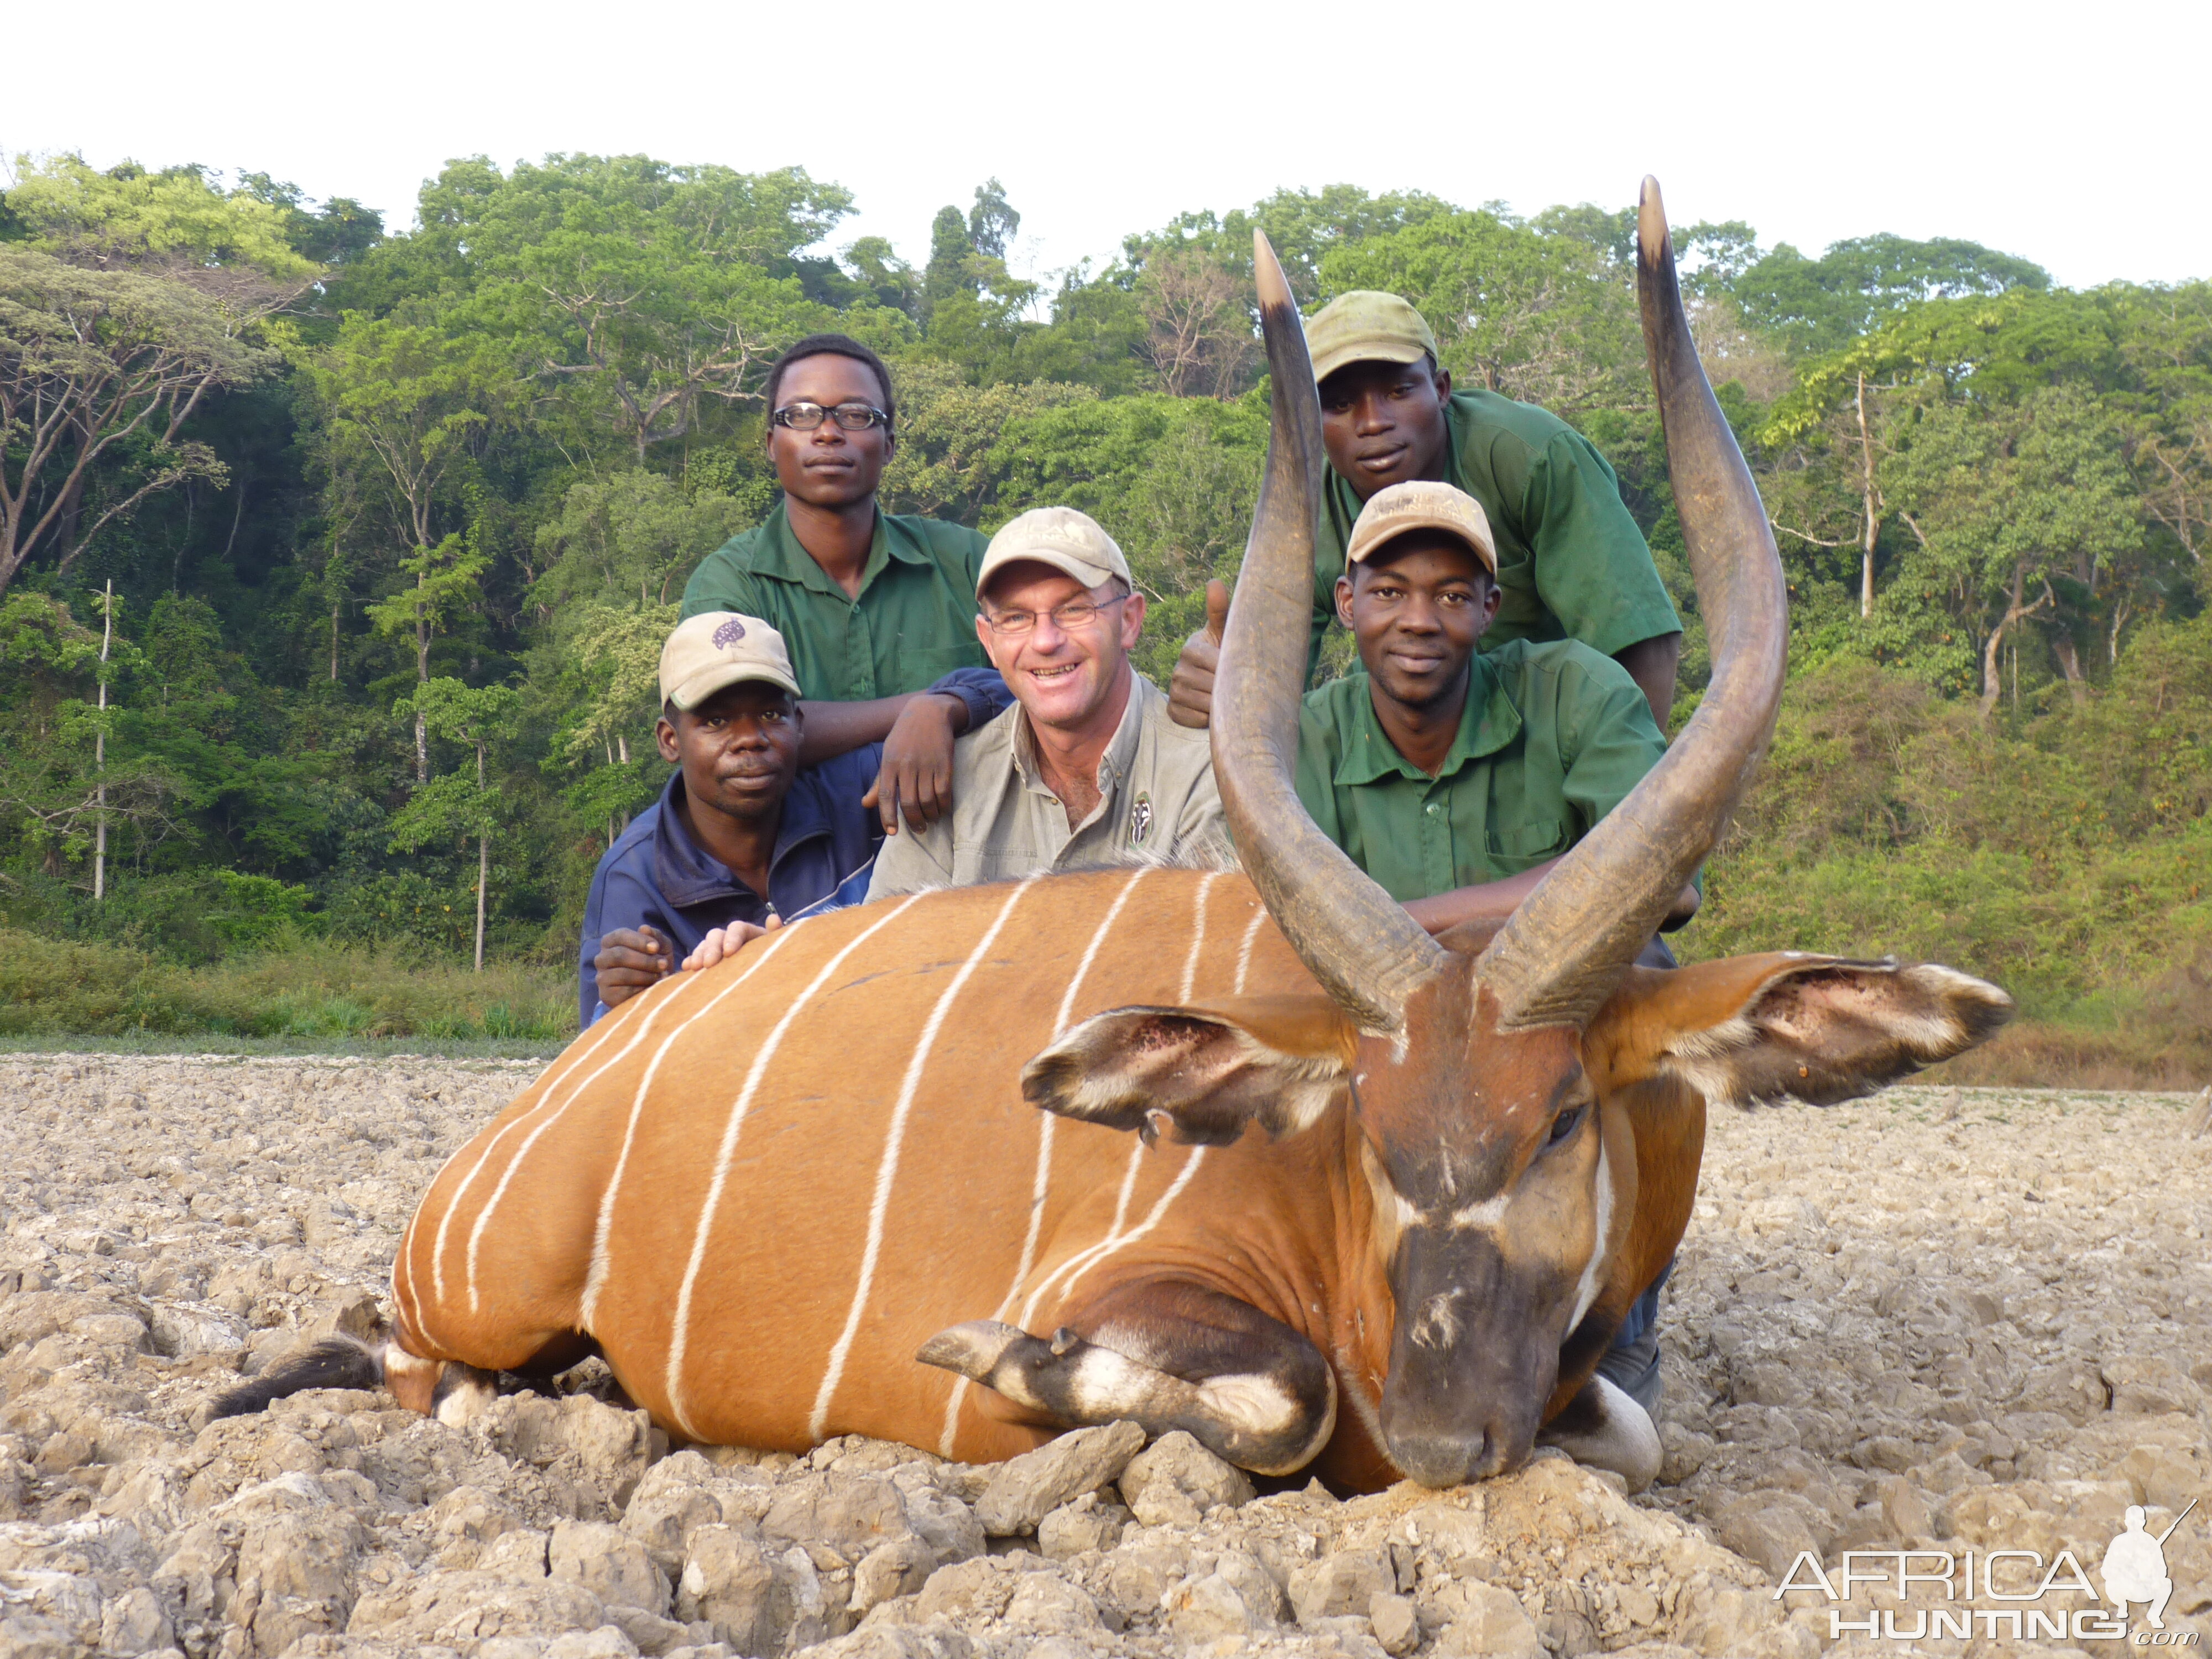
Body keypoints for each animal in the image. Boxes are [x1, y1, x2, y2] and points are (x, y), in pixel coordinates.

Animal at [220, 181, 2008, 1495]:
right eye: (1365, 1126)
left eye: (1564, 1114)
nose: (1441, 1430)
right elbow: (1276, 1395)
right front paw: (988, 1357)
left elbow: (1620, 1423)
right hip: (476, 1288)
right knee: (406, 1359)